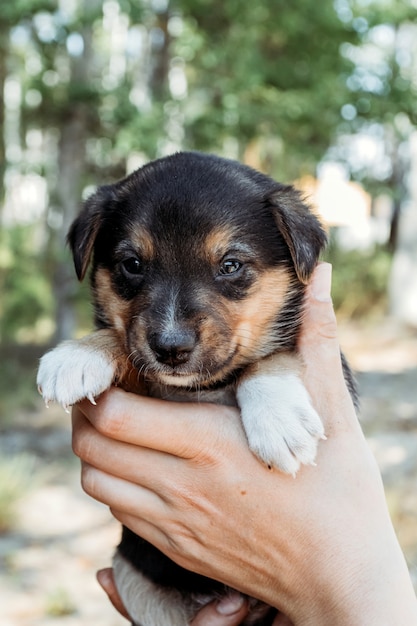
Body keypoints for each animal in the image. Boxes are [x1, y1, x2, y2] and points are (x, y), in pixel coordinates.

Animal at [38, 152, 354, 624]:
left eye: (231, 265)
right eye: (132, 264)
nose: (171, 348)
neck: (201, 387)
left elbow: (272, 356)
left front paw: (278, 419)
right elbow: (123, 340)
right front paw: (79, 354)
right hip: (136, 581)